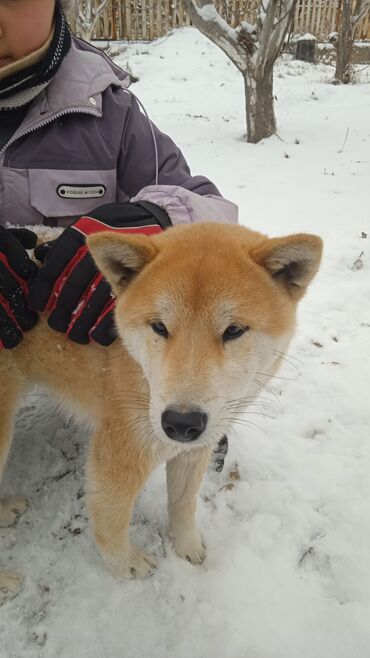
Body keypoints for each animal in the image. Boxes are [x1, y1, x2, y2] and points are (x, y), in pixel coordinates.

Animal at [0, 222, 322, 600]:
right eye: (159, 327)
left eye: (233, 331)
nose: (181, 422)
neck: (134, 363)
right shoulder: (122, 451)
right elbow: (111, 520)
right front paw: (125, 565)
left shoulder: (195, 448)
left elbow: (183, 505)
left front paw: (185, 546)